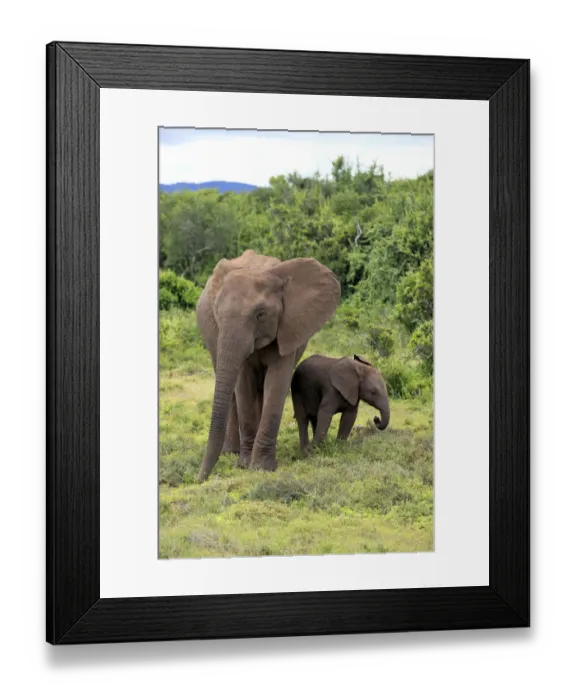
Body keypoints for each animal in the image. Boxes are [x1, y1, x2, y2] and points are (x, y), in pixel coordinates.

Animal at [195, 250, 341, 483]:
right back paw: (231, 453)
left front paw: (261, 468)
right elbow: (243, 384)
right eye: (217, 312)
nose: (198, 479)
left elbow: (277, 383)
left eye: (260, 315)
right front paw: (245, 464)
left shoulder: (288, 327)